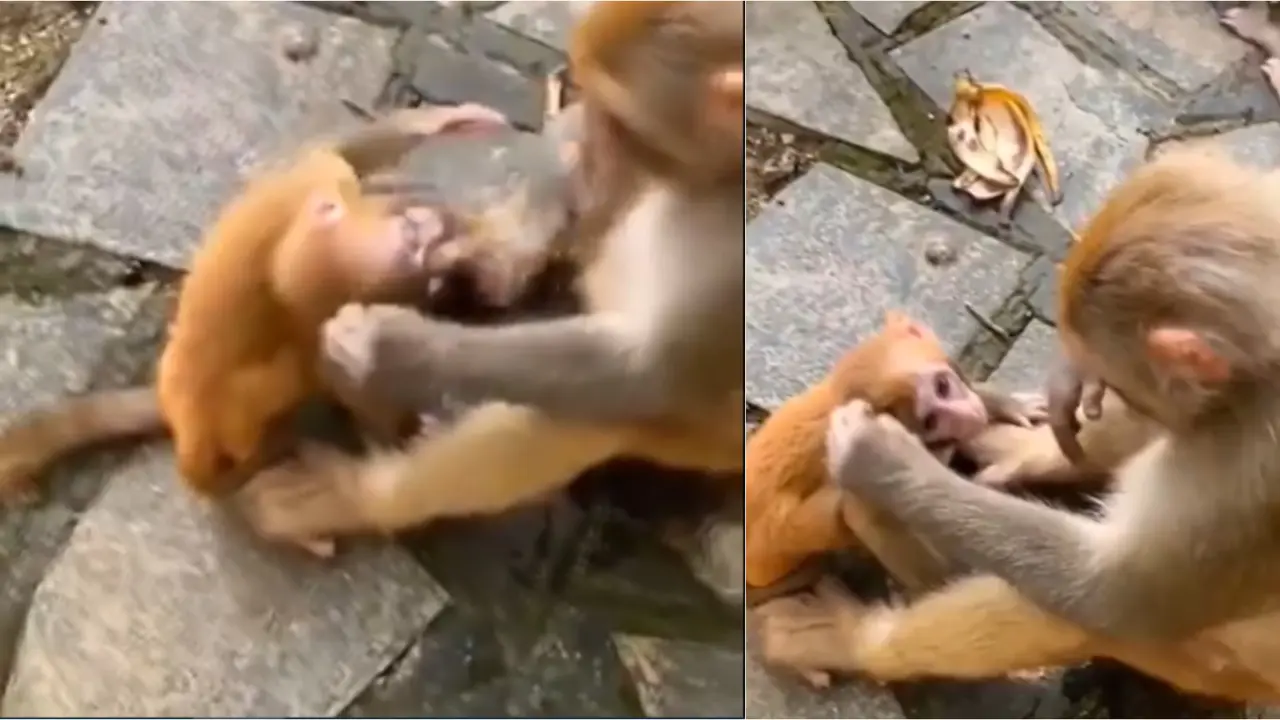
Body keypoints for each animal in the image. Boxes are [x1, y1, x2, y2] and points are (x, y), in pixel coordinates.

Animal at [0, 104, 512, 551]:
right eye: (417, 234)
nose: (428, 236)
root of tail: (176, 409)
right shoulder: (321, 251)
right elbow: (313, 312)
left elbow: (345, 157)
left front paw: (444, 123)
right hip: (221, 424)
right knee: (267, 385)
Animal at [231, 2, 747, 556]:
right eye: (589, 99)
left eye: (620, 120)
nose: (588, 148)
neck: (706, 180)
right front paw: (493, 245)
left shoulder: (727, 272)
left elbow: (647, 375)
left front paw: (395, 351)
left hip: (696, 445)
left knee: (581, 414)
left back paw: (357, 498)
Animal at [752, 148, 1280, 702]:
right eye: (933, 412)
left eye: (943, 390)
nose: (959, 416)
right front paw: (1037, 426)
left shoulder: (1246, 465)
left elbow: (1113, 599)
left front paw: (881, 462)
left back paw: (857, 641)